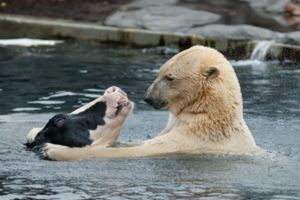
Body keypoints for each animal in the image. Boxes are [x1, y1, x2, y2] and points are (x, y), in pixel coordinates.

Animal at [40, 45, 260, 161]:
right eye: (160, 71)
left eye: (170, 77)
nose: (148, 97)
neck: (208, 115)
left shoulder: (192, 140)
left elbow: (138, 150)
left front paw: (52, 149)